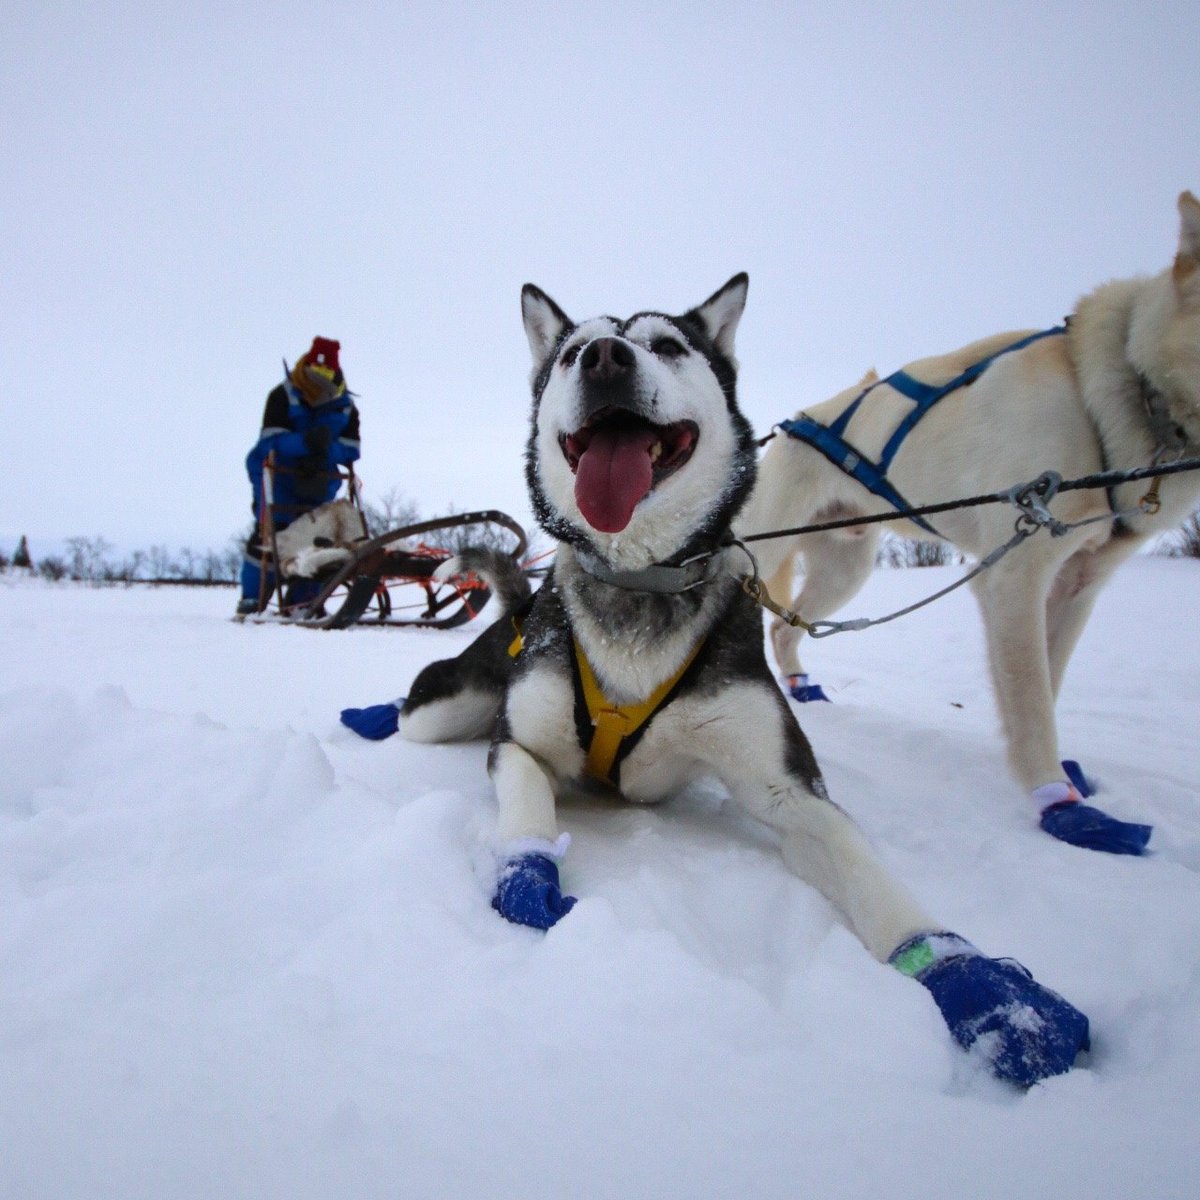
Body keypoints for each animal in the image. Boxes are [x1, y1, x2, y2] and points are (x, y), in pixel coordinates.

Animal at [739, 192, 1200, 854]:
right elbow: (1031, 699)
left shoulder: (1078, 583)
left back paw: (802, 686)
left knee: (784, 627)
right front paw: (1059, 804)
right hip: (765, 546)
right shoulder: (1013, 574)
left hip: (846, 569)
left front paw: (1065, 777)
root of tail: (795, 423)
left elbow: (1048, 682)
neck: (1107, 392)